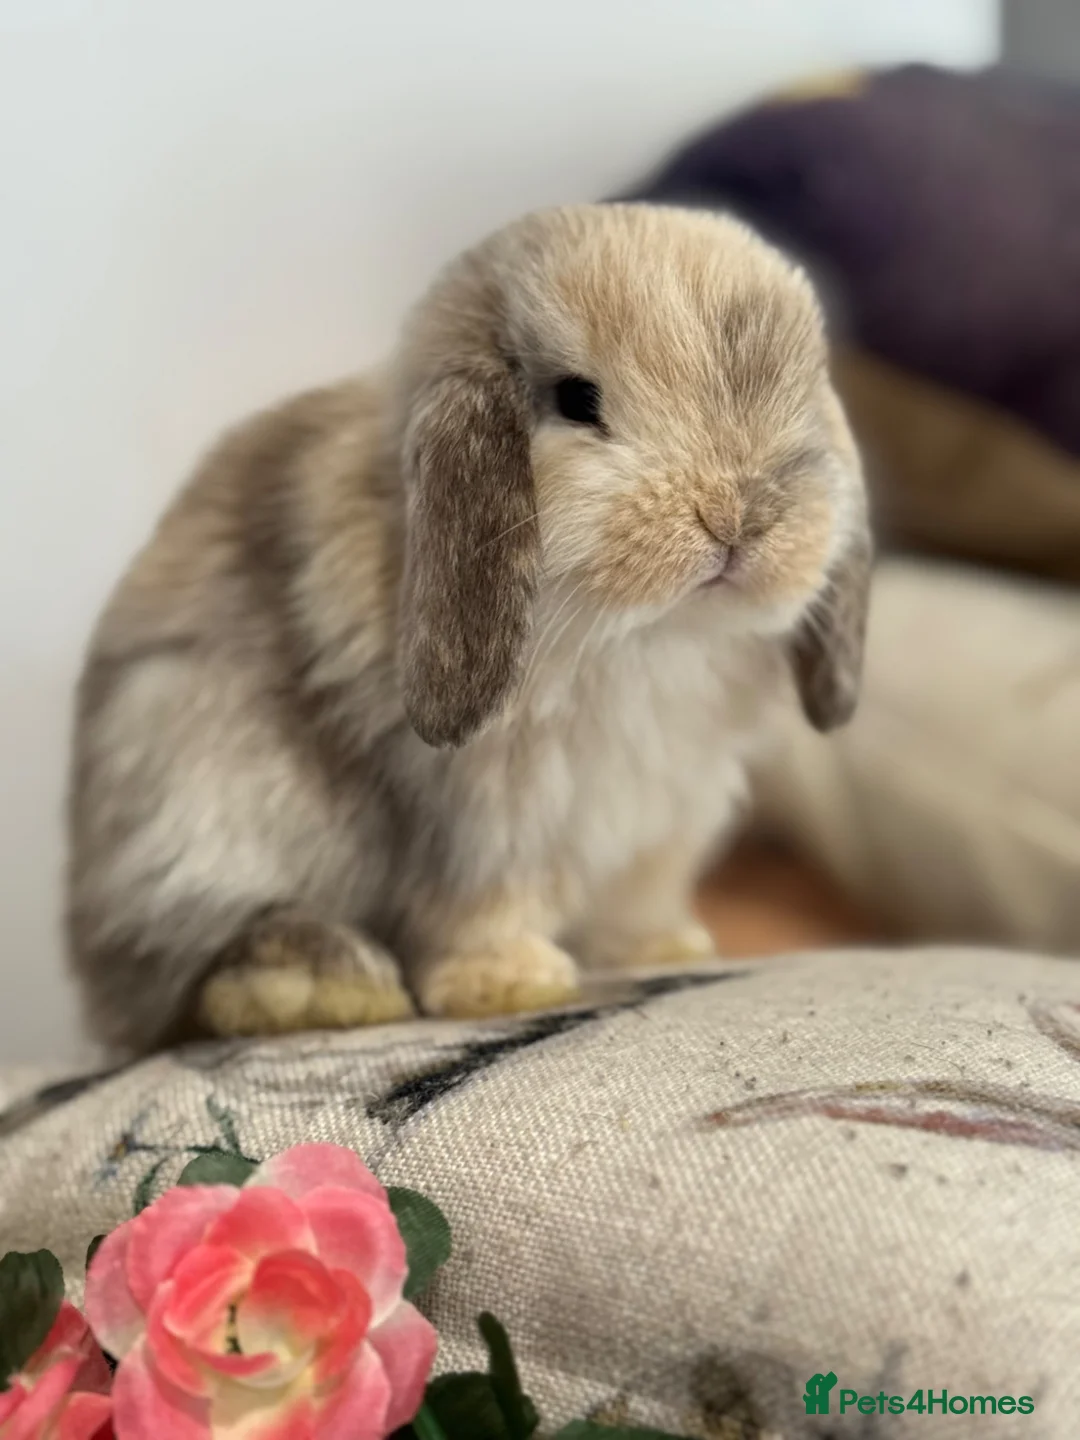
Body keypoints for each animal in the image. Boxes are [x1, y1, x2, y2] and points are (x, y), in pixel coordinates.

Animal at [67, 202, 871, 1056]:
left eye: (800, 393)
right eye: (576, 400)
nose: (738, 517)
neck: (646, 637)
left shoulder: (665, 815)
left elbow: (641, 891)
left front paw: (666, 948)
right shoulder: (487, 820)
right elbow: (485, 902)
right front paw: (508, 986)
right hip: (199, 805)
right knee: (194, 979)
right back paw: (323, 987)